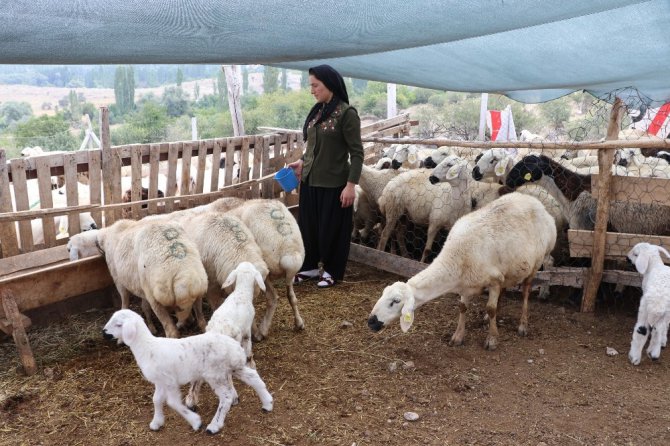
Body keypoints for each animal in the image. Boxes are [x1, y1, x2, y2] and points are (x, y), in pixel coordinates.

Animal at [67, 220, 207, 338]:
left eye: (70, 249)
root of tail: (183, 274)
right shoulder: (142, 286)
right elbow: (145, 307)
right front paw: (151, 327)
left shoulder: (118, 279)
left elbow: (125, 300)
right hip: (198, 292)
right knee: (202, 321)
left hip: (155, 297)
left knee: (171, 331)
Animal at [102, 308, 272, 434]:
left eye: (118, 324)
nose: (103, 333)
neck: (147, 347)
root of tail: (235, 346)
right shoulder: (160, 381)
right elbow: (156, 400)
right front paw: (157, 422)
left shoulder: (169, 381)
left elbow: (173, 403)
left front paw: (195, 421)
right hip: (233, 367)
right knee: (253, 377)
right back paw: (267, 403)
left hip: (215, 374)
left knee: (226, 397)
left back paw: (214, 426)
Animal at [186, 262, 268, 412]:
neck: (241, 293)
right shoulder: (246, 332)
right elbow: (249, 353)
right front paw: (252, 366)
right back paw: (234, 397)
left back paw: (191, 401)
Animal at [368, 193, 556, 350]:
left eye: (395, 301)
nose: (370, 322)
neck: (456, 258)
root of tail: (536, 202)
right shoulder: (468, 284)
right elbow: (463, 307)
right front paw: (458, 336)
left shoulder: (494, 280)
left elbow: (491, 308)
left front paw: (492, 339)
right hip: (509, 269)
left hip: (536, 263)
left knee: (525, 291)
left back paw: (523, 324)